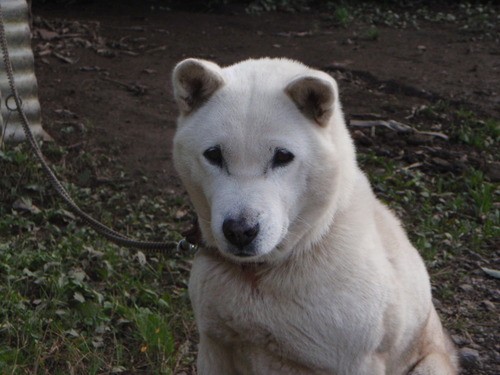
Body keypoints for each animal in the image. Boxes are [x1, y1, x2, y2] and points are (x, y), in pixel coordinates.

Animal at [171, 57, 458, 374]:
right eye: (214, 155)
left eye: (283, 156)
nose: (240, 231)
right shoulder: (214, 346)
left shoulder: (356, 363)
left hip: (429, 364)